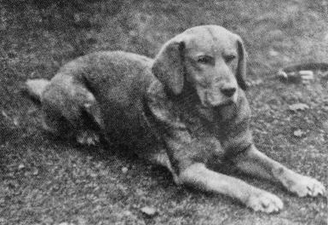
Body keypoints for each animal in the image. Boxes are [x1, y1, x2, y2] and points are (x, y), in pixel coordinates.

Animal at [24, 25, 324, 213]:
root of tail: (55, 76)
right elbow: (233, 182)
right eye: (202, 60)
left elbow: (277, 167)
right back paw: (86, 133)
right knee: (53, 125)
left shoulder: (242, 151)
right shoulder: (190, 170)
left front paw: (302, 181)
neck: (212, 119)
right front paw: (260, 196)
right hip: (76, 94)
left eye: (231, 57)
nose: (230, 90)